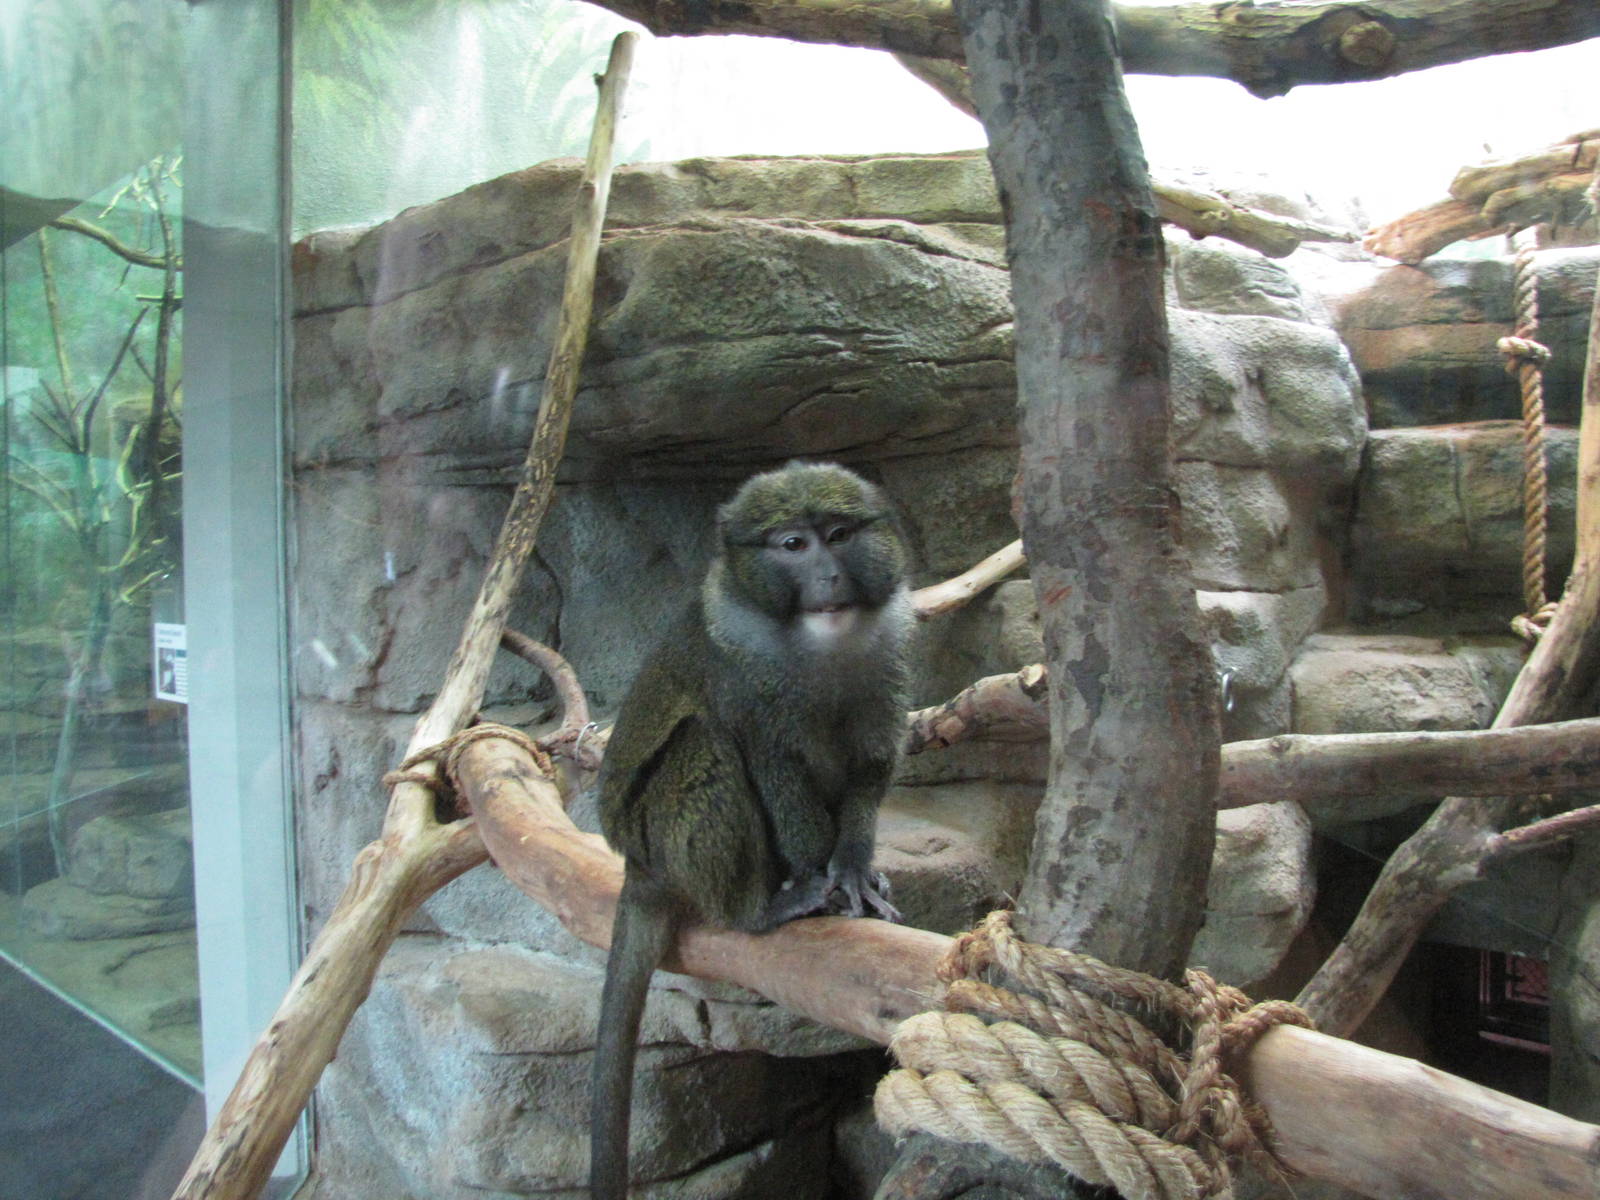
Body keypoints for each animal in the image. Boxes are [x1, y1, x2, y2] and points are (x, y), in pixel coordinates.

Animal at [588, 460, 913, 1200]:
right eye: (793, 545)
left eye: (839, 535)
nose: (829, 577)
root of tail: (633, 866)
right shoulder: (743, 677)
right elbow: (770, 764)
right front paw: (821, 880)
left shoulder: (883, 665)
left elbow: (870, 765)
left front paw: (854, 868)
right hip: (656, 838)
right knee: (703, 741)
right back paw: (761, 909)